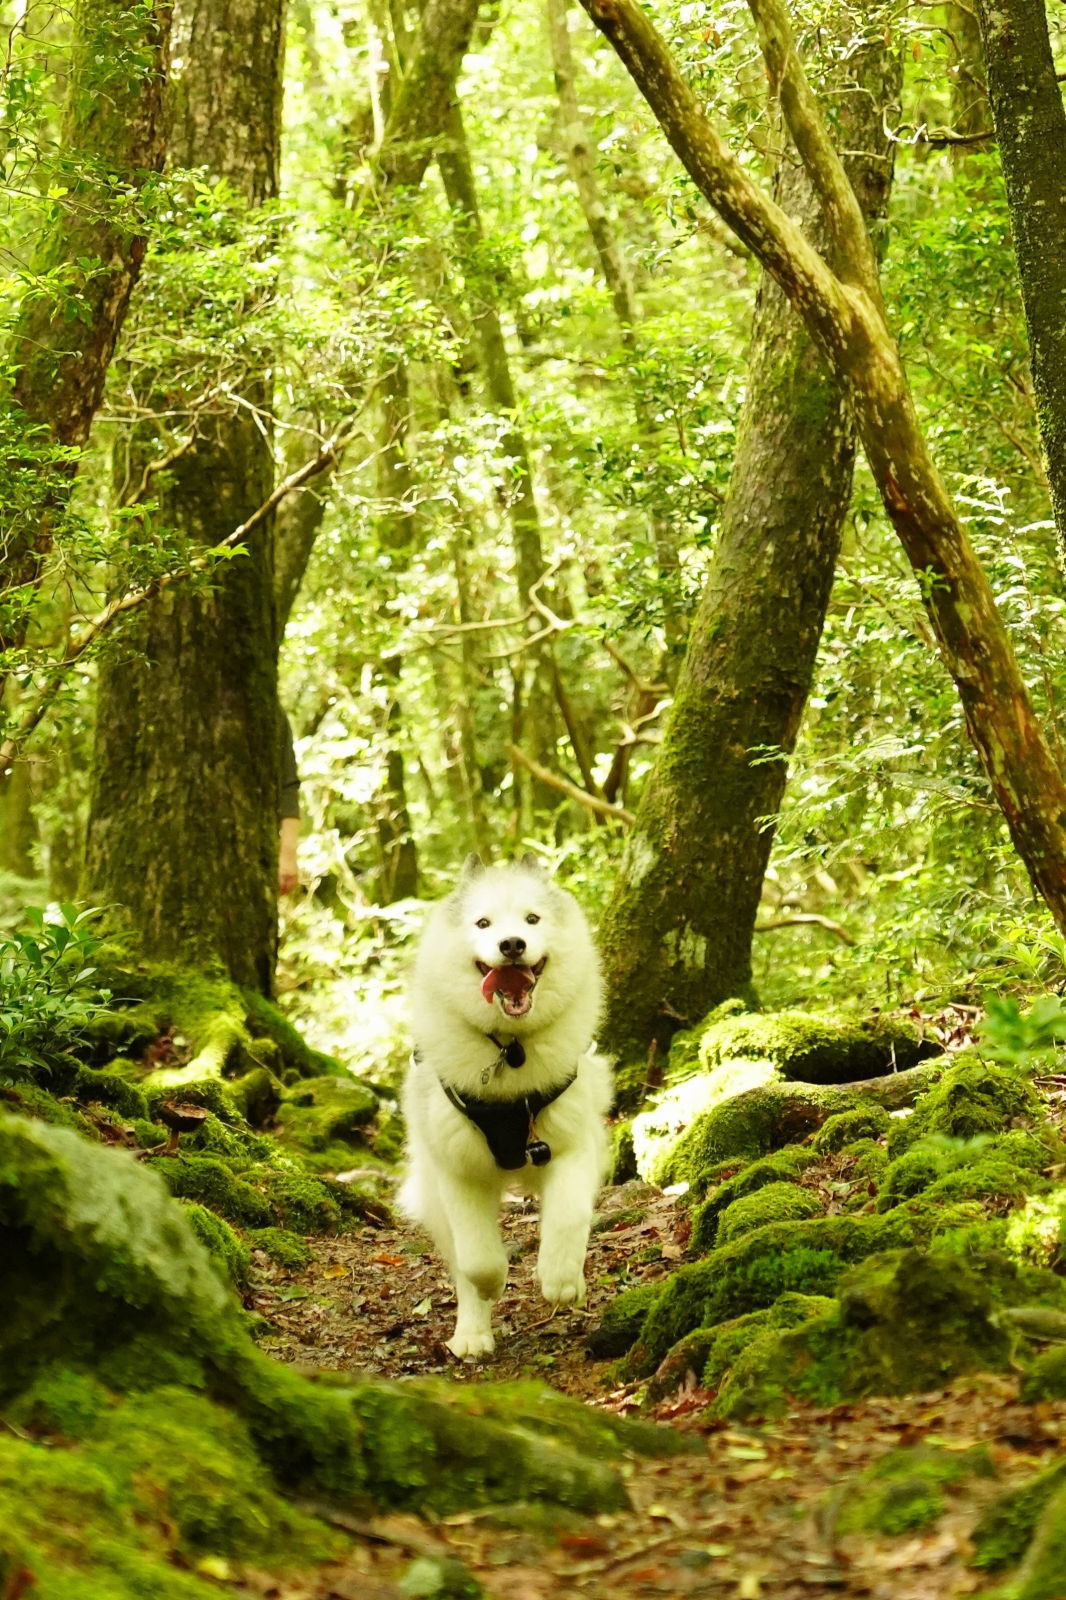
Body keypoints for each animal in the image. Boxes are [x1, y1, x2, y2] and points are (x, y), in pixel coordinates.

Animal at [398, 857, 611, 1356]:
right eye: (483, 923)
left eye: (532, 919)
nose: (512, 944)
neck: (510, 1050)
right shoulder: (460, 1170)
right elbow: (476, 1259)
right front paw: (492, 1286)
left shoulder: (574, 1145)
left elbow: (569, 1217)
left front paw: (561, 1281)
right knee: (458, 1263)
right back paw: (471, 1333)